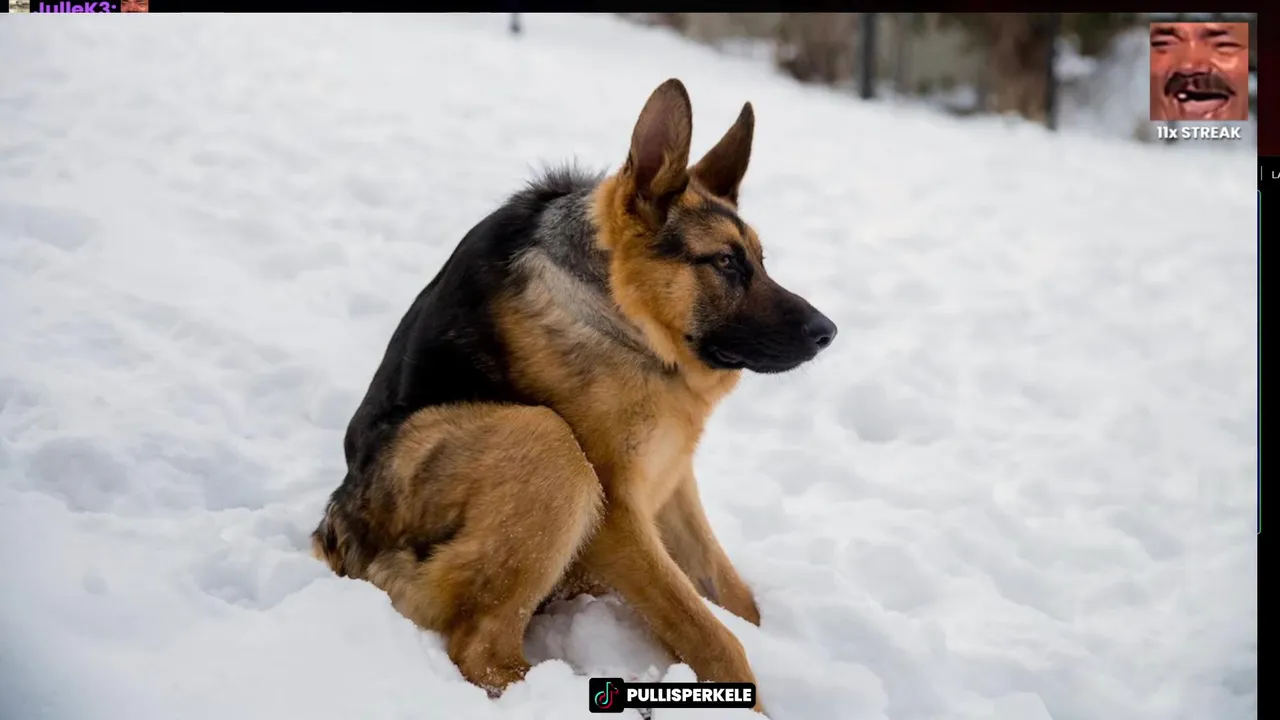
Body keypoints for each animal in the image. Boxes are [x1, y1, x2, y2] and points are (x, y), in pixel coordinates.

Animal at [311, 78, 837, 713]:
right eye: (727, 264)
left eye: (760, 261)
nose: (829, 332)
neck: (620, 312)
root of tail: (337, 537)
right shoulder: (618, 517)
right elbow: (714, 636)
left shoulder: (672, 479)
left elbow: (734, 598)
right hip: (545, 442)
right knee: (481, 647)